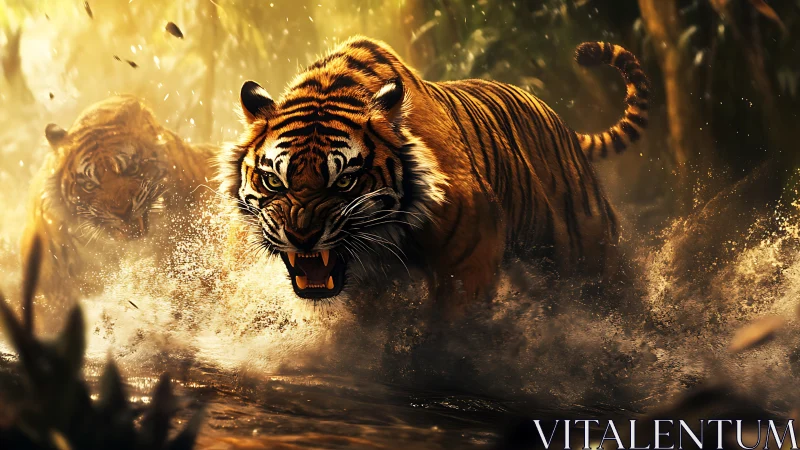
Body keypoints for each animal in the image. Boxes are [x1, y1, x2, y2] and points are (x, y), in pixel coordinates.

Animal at [224, 37, 649, 319]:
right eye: (274, 181)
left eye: (345, 182)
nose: (302, 238)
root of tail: (564, 124)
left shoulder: (472, 253)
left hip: (590, 253)